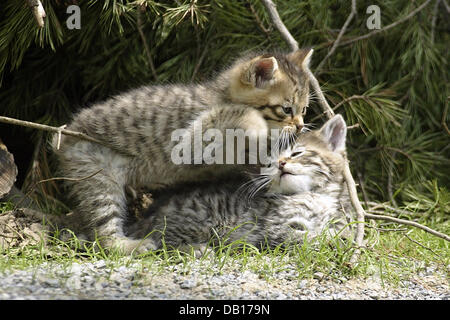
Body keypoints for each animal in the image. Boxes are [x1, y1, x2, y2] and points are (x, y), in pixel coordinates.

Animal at [53, 48, 312, 252]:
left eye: (304, 110)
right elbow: (230, 113)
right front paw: (255, 122)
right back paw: (128, 246)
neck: (220, 94)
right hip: (96, 174)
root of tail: (64, 134)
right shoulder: (185, 143)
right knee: (104, 229)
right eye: (286, 109)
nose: (300, 126)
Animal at [127, 115, 356, 252]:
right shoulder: (274, 228)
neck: (314, 194)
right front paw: (332, 239)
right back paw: (195, 248)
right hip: (200, 218)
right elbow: (305, 237)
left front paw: (341, 235)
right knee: (161, 242)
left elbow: (336, 228)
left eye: (296, 153)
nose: (280, 164)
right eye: (269, 163)